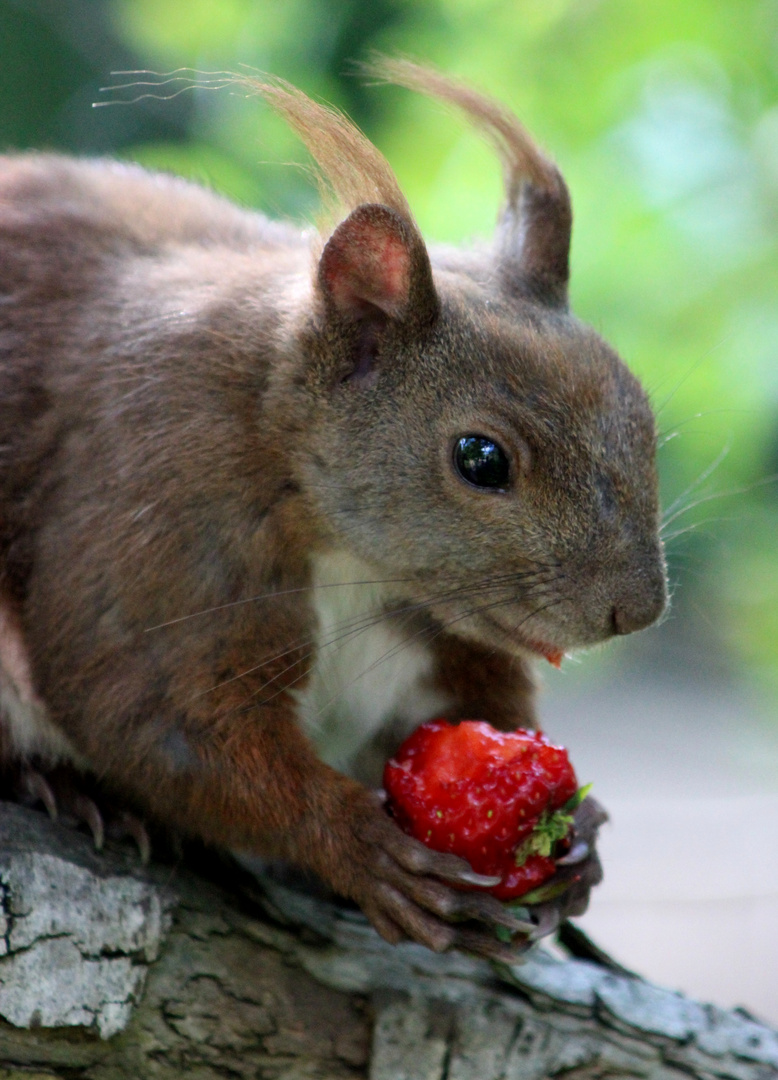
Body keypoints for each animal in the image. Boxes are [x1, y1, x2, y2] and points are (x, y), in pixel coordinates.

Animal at [0, 59, 669, 959]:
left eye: (641, 413)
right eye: (481, 459)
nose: (638, 609)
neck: (357, 564)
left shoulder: (436, 651)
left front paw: (581, 838)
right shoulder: (155, 512)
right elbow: (154, 717)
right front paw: (358, 847)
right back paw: (67, 789)